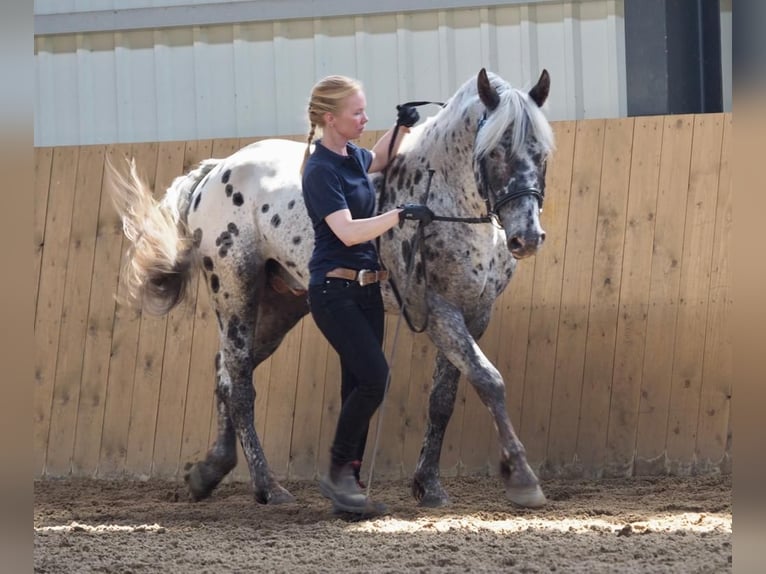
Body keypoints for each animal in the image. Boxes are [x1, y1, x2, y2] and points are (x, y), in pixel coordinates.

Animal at [108, 68, 554, 508]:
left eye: (542, 154)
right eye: (495, 151)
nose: (527, 238)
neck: (443, 201)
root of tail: (216, 172)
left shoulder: (475, 313)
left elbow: (444, 398)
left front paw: (429, 486)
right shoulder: (439, 311)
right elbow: (489, 380)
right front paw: (523, 478)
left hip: (280, 307)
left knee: (227, 375)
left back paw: (209, 471)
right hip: (235, 292)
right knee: (241, 385)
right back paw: (268, 488)